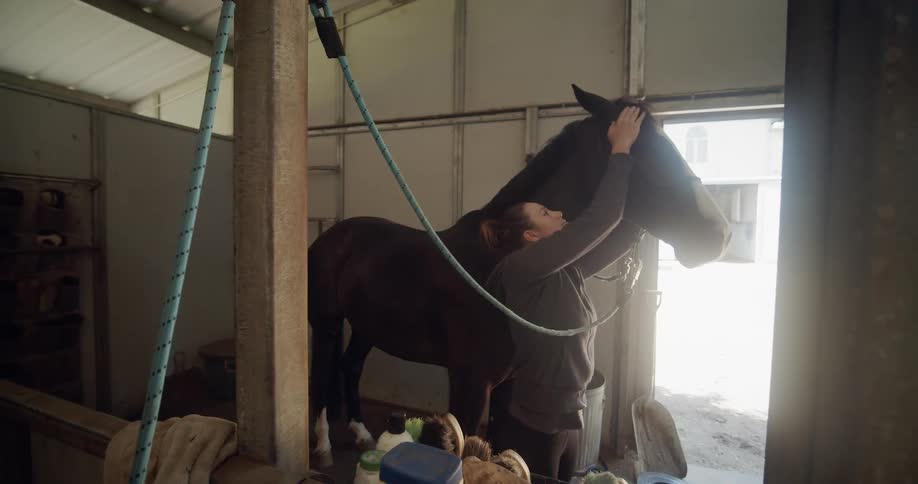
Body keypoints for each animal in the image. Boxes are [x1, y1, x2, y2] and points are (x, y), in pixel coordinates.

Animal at [307, 84, 731, 465]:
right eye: (645, 155)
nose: (719, 235)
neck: (496, 260)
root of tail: (332, 236)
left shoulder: (507, 385)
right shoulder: (470, 382)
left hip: (368, 326)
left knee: (351, 366)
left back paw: (362, 433)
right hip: (327, 323)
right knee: (322, 374)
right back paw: (323, 447)